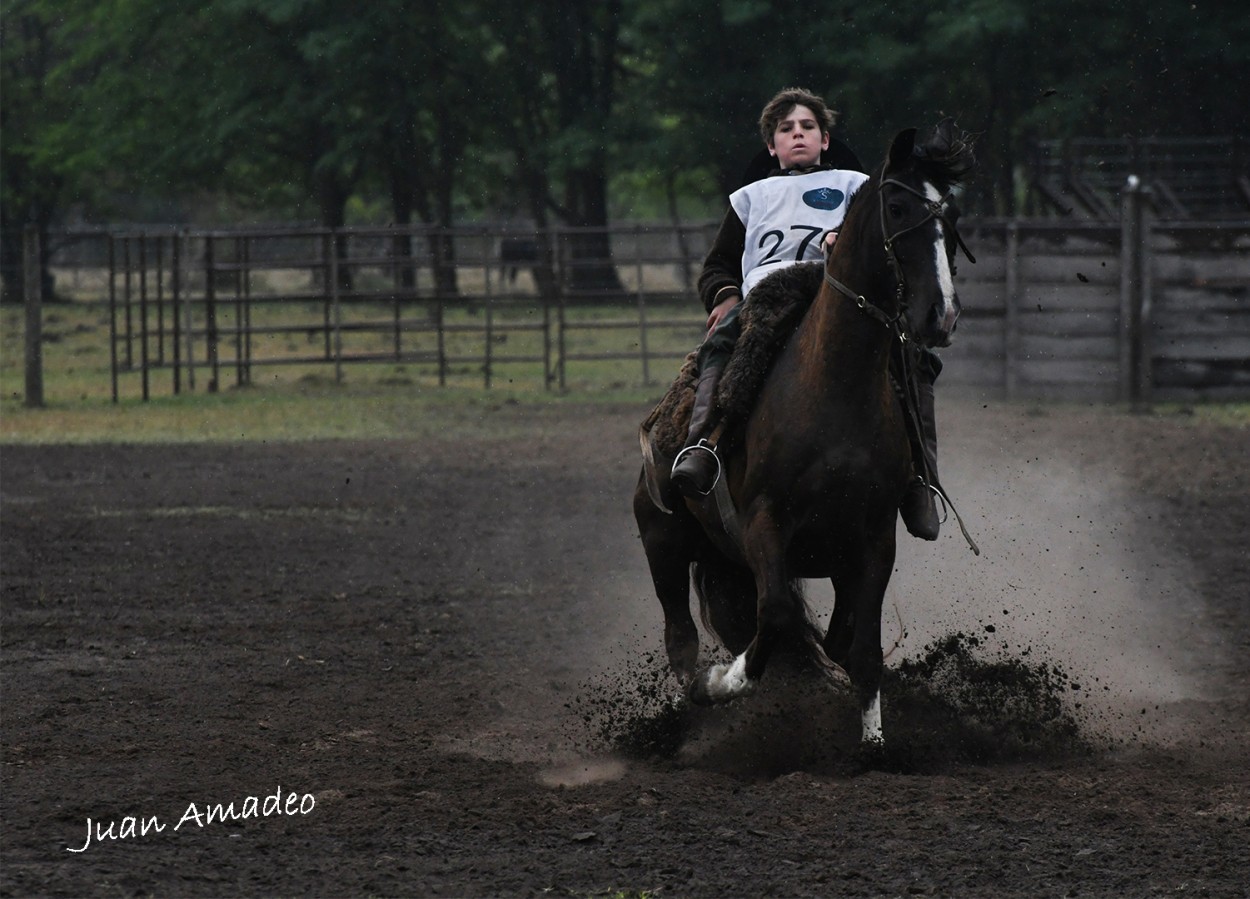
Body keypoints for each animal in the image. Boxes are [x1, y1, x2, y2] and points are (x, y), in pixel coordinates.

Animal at [635, 123, 975, 750]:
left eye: (952, 213)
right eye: (897, 207)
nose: (940, 315)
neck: (833, 393)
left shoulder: (871, 540)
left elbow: (860, 648)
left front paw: (873, 745)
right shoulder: (765, 523)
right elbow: (777, 618)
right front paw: (726, 682)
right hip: (663, 540)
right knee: (680, 641)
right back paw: (684, 712)